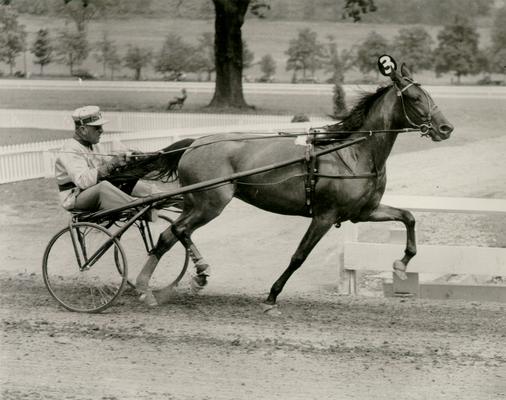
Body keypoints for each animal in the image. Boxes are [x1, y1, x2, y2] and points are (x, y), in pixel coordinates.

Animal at [114, 61, 454, 312]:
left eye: (428, 94)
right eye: (414, 98)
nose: (446, 127)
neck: (352, 153)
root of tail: (195, 142)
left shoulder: (363, 212)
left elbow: (409, 217)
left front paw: (401, 264)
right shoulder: (325, 216)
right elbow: (299, 256)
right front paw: (272, 296)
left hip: (196, 202)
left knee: (171, 234)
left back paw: (171, 282)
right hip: (211, 203)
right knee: (175, 232)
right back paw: (174, 279)